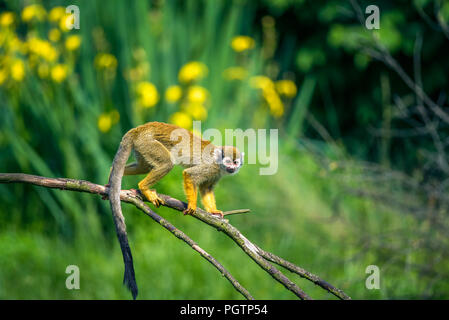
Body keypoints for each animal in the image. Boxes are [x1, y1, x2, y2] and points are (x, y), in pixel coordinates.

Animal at [108, 121, 243, 298]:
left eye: (235, 162)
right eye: (229, 161)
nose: (232, 168)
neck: (219, 164)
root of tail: (139, 128)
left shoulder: (216, 173)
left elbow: (206, 189)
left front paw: (213, 211)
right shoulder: (210, 167)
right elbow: (190, 174)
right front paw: (192, 206)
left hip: (141, 147)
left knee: (144, 167)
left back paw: (112, 176)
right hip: (148, 143)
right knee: (167, 163)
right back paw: (143, 188)